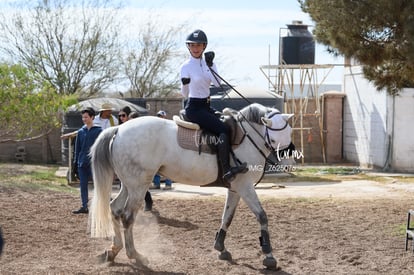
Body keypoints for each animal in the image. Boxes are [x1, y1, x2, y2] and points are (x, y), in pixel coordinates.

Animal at [89, 102, 292, 270]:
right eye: (275, 140)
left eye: (289, 134)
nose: (287, 161)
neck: (247, 137)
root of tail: (118, 129)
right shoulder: (245, 186)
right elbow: (262, 216)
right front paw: (269, 256)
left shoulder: (235, 188)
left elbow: (226, 217)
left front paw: (221, 248)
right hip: (139, 186)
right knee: (127, 217)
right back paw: (135, 255)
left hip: (129, 185)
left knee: (114, 209)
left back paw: (113, 251)